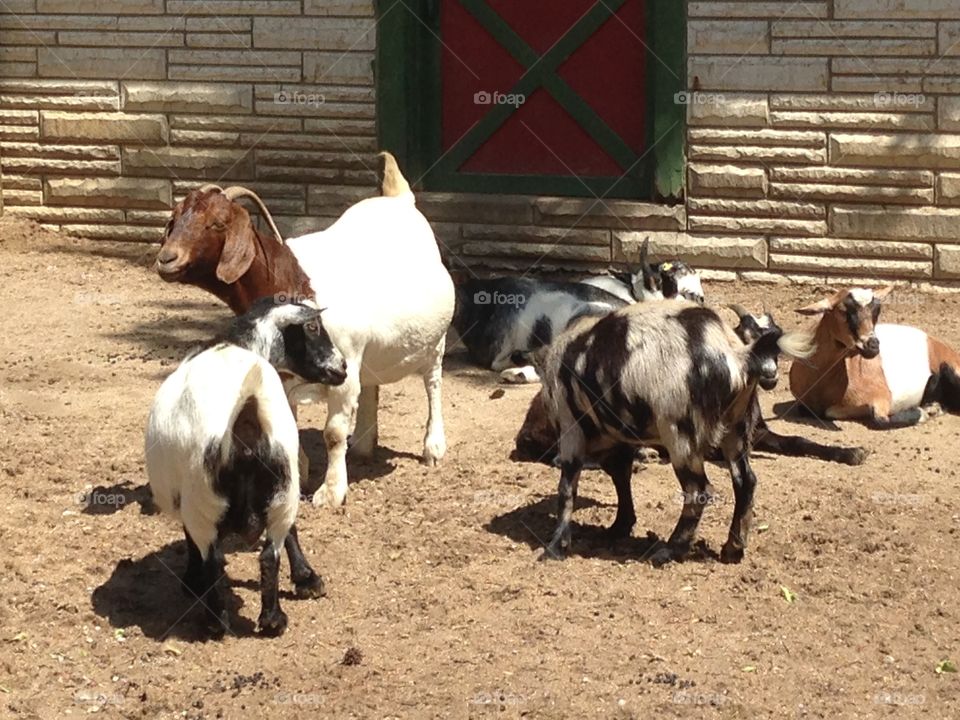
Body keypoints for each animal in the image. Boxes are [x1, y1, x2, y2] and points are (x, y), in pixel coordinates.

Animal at [145, 298, 347, 636]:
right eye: (313, 327)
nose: (342, 367)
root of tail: (246, 416)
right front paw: (307, 579)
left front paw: (191, 581)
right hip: (282, 489)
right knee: (270, 552)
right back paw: (272, 619)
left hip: (203, 501)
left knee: (214, 557)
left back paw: (216, 621)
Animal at [155, 152, 455, 507]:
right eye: (174, 218)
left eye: (218, 222)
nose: (166, 259)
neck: (292, 281)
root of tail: (399, 199)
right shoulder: (283, 374)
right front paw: (298, 477)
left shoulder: (343, 367)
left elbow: (333, 433)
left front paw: (331, 492)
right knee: (371, 387)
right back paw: (363, 445)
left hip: (435, 342)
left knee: (433, 383)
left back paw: (433, 447)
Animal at [536, 301, 814, 565]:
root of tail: (738, 354)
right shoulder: (620, 439)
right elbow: (621, 478)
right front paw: (620, 526)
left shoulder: (571, 430)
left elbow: (567, 488)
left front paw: (556, 547)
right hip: (737, 429)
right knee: (745, 482)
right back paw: (732, 549)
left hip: (680, 434)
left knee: (698, 490)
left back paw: (671, 549)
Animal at [789, 286, 960, 428]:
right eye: (843, 311)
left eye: (876, 311)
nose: (873, 345)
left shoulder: (882, 399)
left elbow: (881, 421)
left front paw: (925, 413)